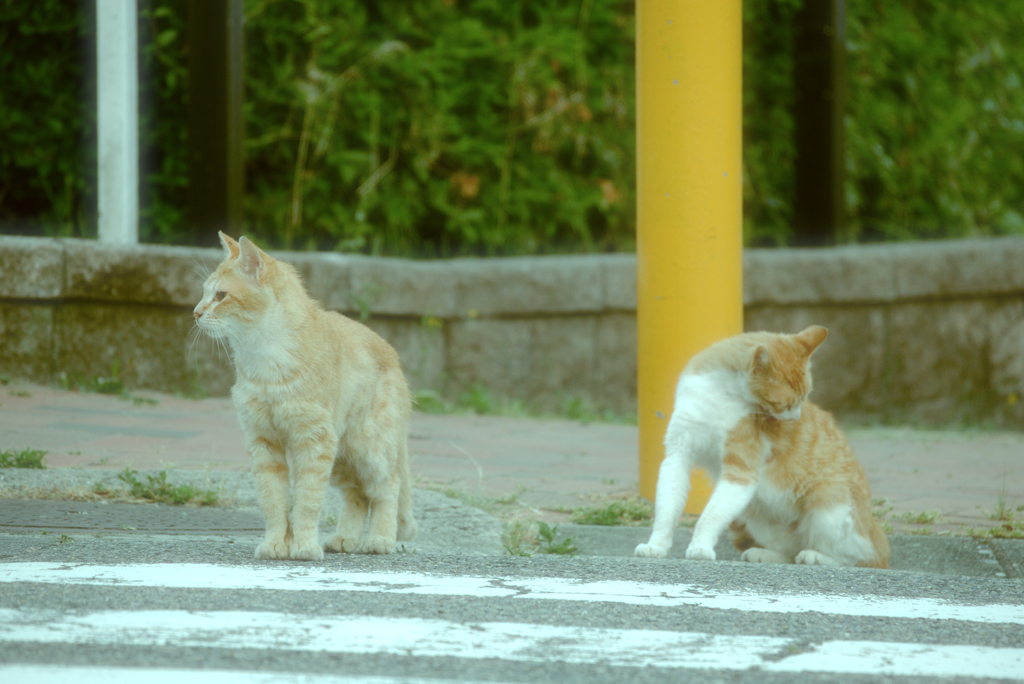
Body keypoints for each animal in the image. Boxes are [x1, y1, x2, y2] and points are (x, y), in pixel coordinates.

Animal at [192, 232, 415, 557]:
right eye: (204, 294)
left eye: (221, 296)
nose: (195, 313)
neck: (266, 357)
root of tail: (393, 354)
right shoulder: (263, 442)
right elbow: (273, 501)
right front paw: (275, 543)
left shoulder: (313, 442)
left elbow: (307, 502)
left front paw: (305, 545)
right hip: (343, 457)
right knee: (358, 495)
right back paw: (345, 538)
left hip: (368, 449)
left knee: (387, 487)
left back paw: (380, 539)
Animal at [630, 325, 888, 565]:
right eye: (784, 405)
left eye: (804, 399)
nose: (795, 418)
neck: (718, 394)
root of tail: (874, 530)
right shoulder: (677, 456)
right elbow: (667, 509)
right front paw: (656, 545)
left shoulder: (740, 472)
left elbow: (709, 515)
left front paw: (700, 546)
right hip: (755, 514)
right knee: (791, 552)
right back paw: (764, 554)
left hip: (828, 504)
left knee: (853, 556)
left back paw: (815, 557)